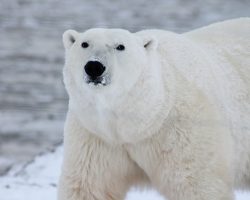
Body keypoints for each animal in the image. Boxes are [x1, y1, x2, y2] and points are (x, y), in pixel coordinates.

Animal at [58, 18, 250, 200]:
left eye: (120, 46)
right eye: (84, 44)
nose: (94, 66)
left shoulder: (181, 130)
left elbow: (197, 184)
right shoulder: (96, 136)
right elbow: (89, 186)